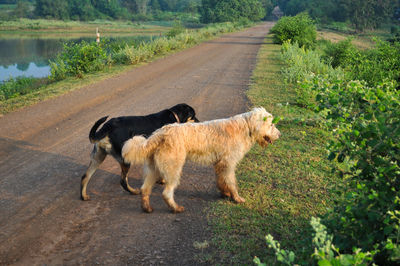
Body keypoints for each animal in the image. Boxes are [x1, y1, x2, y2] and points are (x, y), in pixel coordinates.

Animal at [122, 107, 282, 213]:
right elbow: (231, 182)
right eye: (271, 124)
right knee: (166, 193)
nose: (279, 135)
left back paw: (146, 207)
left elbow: (221, 180)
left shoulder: (220, 164)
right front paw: (236, 198)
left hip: (154, 169)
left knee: (145, 189)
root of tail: (160, 133)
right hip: (173, 169)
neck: (246, 126)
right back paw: (176, 208)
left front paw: (225, 193)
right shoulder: (228, 164)